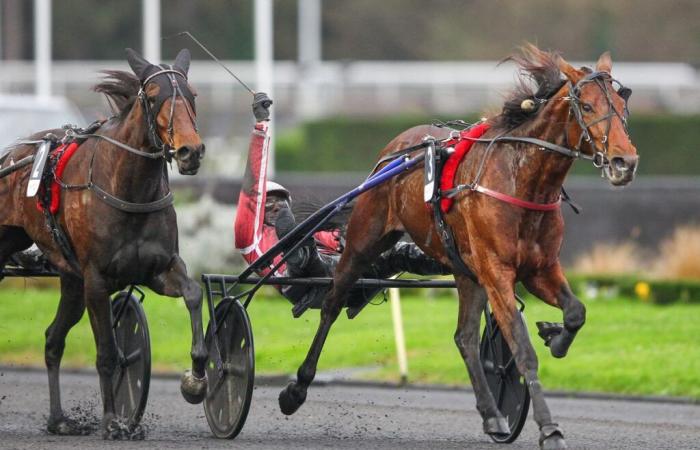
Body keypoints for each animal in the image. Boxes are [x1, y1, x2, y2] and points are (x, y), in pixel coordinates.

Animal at [0, 50, 206, 440]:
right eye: (152, 96)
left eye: (193, 95)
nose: (191, 151)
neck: (129, 188)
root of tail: (10, 157)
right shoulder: (96, 279)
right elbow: (108, 354)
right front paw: (113, 423)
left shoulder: (159, 268)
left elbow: (193, 293)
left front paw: (196, 380)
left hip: (71, 280)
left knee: (53, 340)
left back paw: (59, 419)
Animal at [276, 44, 636, 450]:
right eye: (586, 107)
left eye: (622, 106)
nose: (625, 162)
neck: (521, 180)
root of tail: (398, 147)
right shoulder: (496, 272)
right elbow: (523, 351)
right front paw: (550, 429)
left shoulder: (539, 269)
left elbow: (576, 312)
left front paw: (554, 337)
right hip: (364, 241)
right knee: (332, 304)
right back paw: (296, 388)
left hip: (465, 271)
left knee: (464, 338)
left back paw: (493, 415)